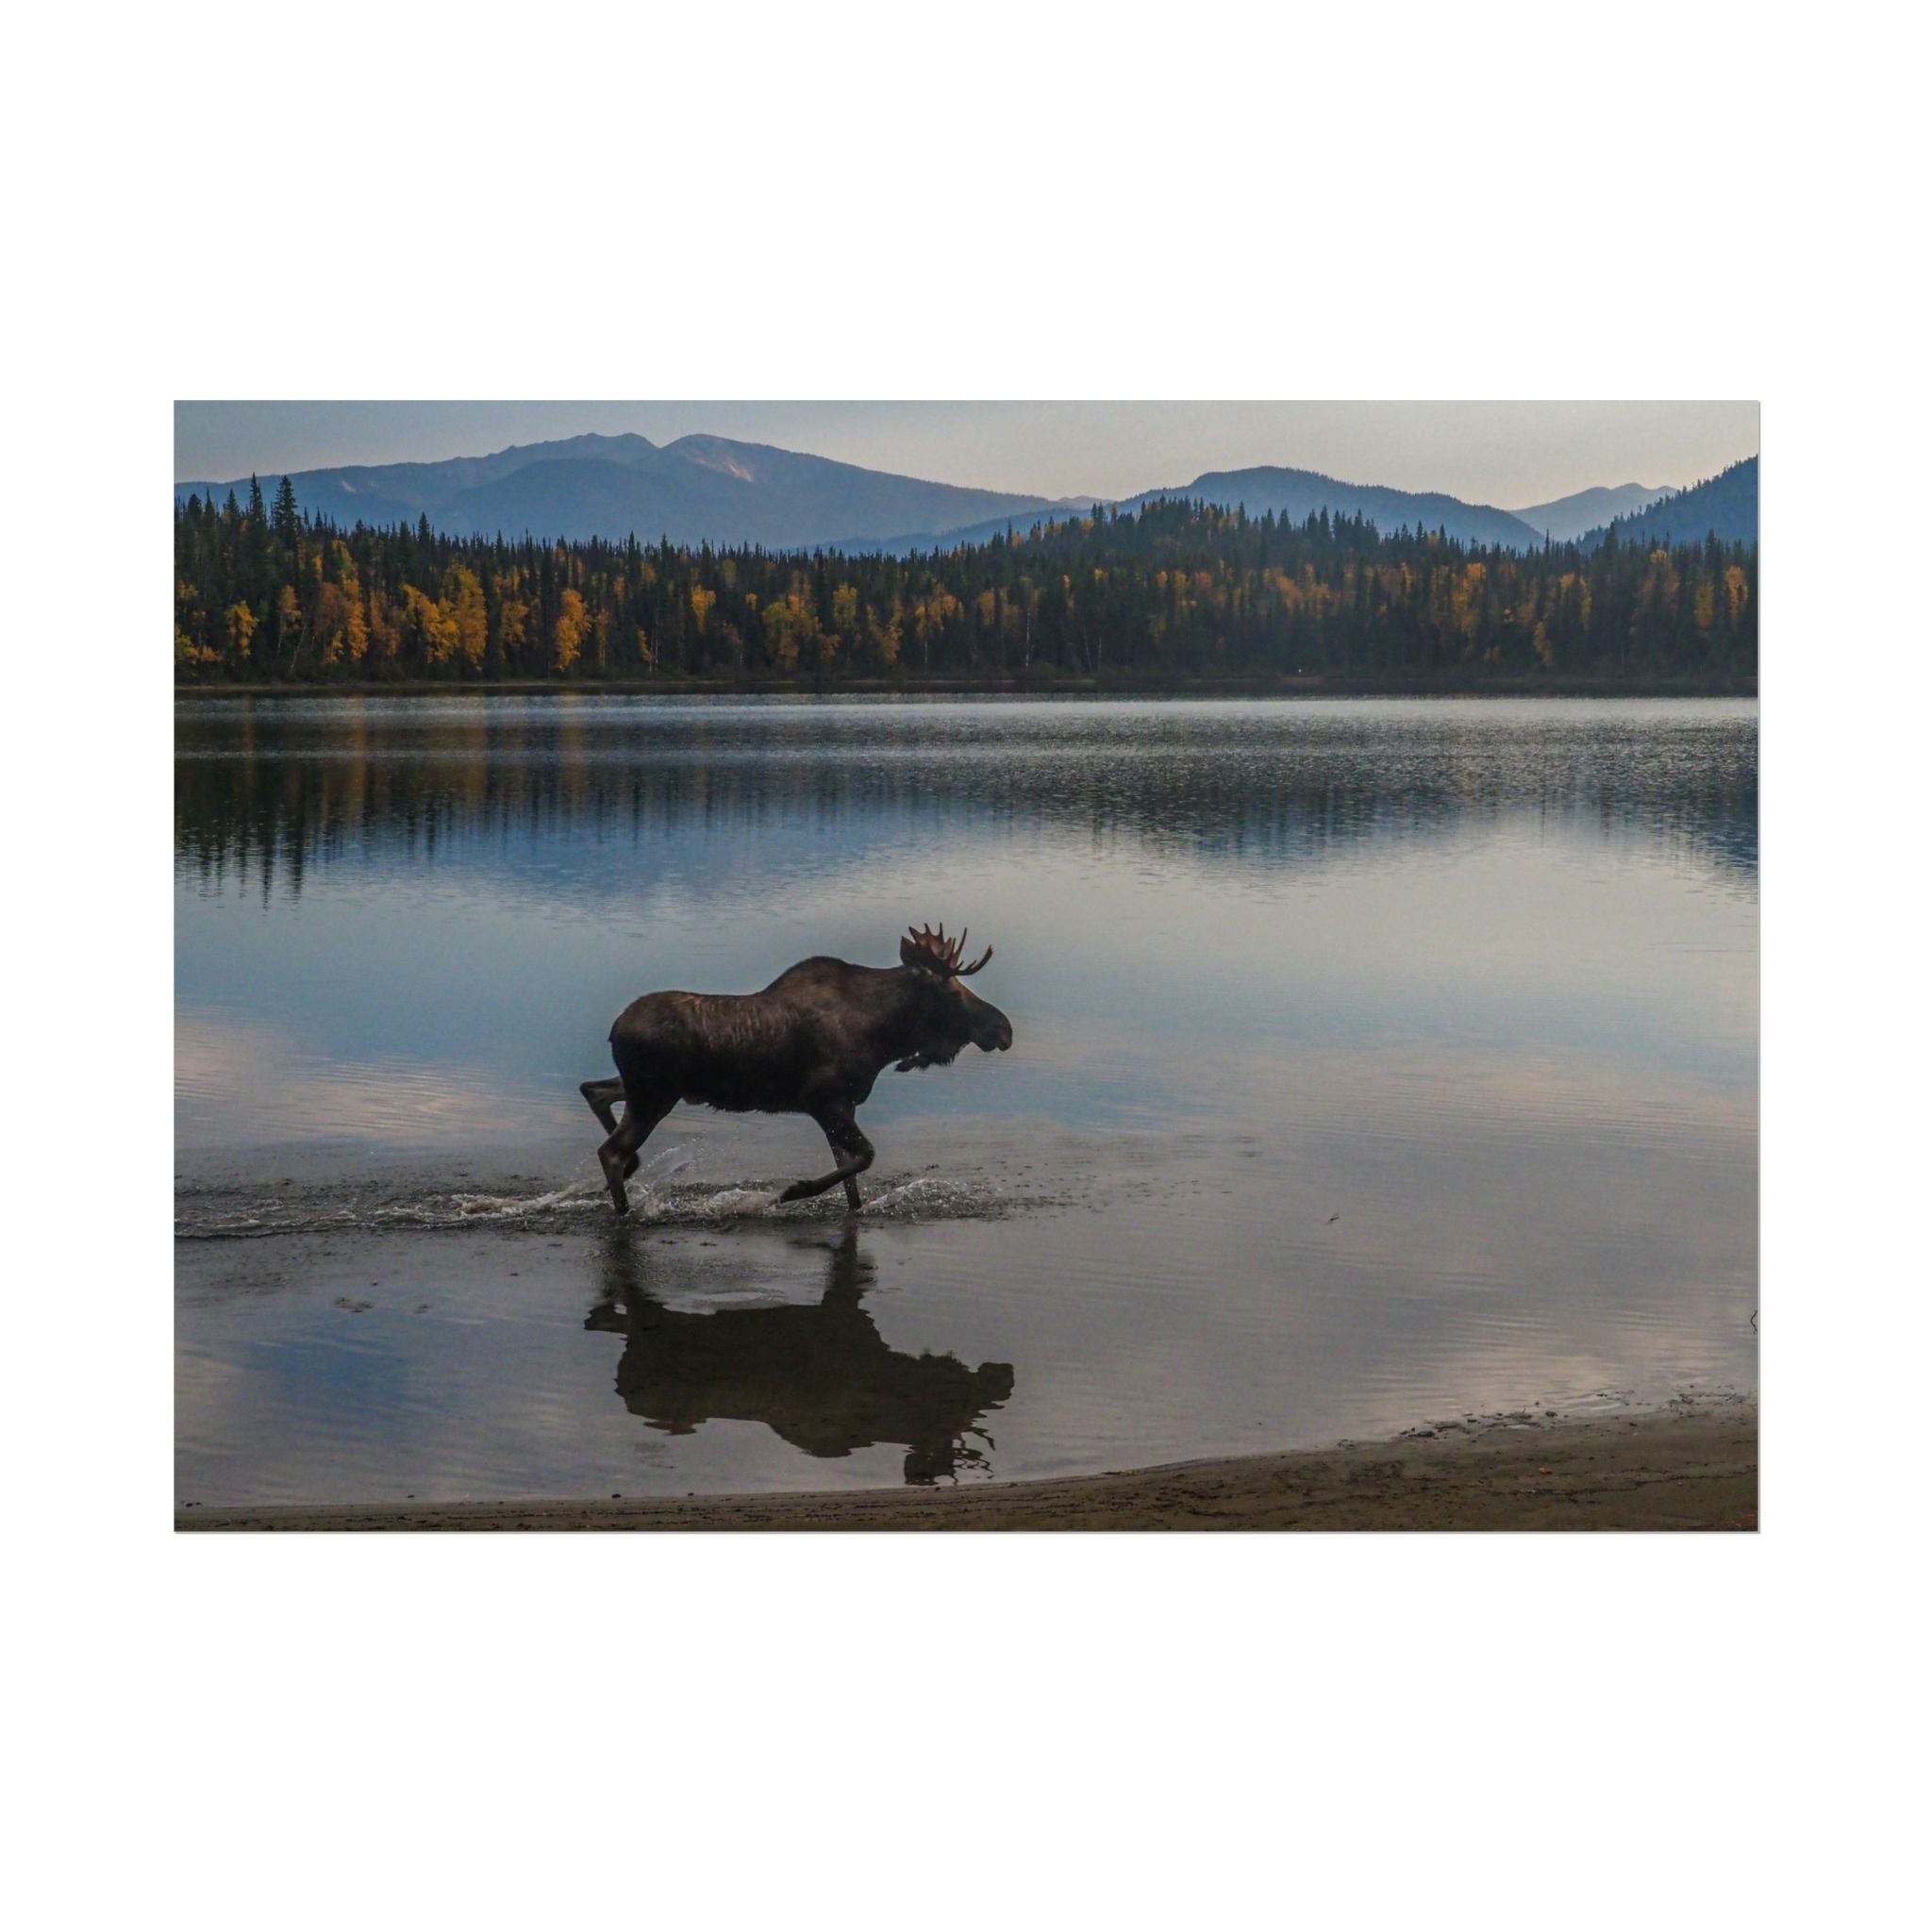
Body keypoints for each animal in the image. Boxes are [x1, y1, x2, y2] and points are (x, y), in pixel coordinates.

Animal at [580, 923, 1013, 1215]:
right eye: (951, 991)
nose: (1003, 1029)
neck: (884, 1037)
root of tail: (614, 1029)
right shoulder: (824, 1101)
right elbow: (865, 1157)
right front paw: (793, 1191)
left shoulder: (844, 1106)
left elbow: (851, 1178)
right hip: (653, 1095)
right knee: (610, 1151)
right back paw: (624, 1208)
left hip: (646, 1089)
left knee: (594, 1091)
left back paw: (633, 1169)